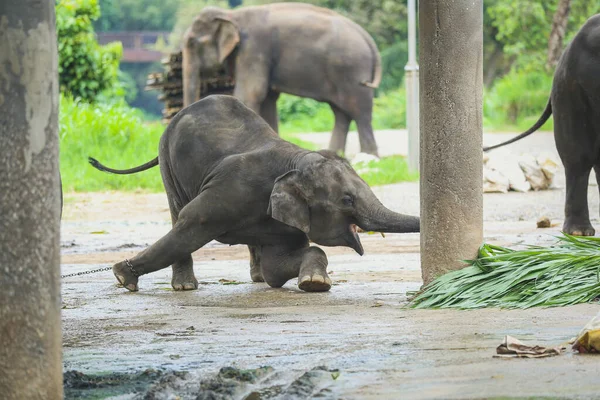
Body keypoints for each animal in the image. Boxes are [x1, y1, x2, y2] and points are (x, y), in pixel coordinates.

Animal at [89, 95, 420, 292]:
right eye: (347, 200)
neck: (295, 161)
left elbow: (279, 265)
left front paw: (313, 283)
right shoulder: (229, 190)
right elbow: (189, 224)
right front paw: (122, 275)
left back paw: (257, 277)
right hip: (168, 161)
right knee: (176, 211)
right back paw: (185, 287)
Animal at [180, 2, 382, 156]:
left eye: (192, 42)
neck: (232, 16)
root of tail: (368, 38)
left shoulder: (253, 49)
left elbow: (251, 94)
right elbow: (268, 99)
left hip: (353, 71)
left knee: (360, 113)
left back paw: (369, 156)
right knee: (341, 113)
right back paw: (335, 153)